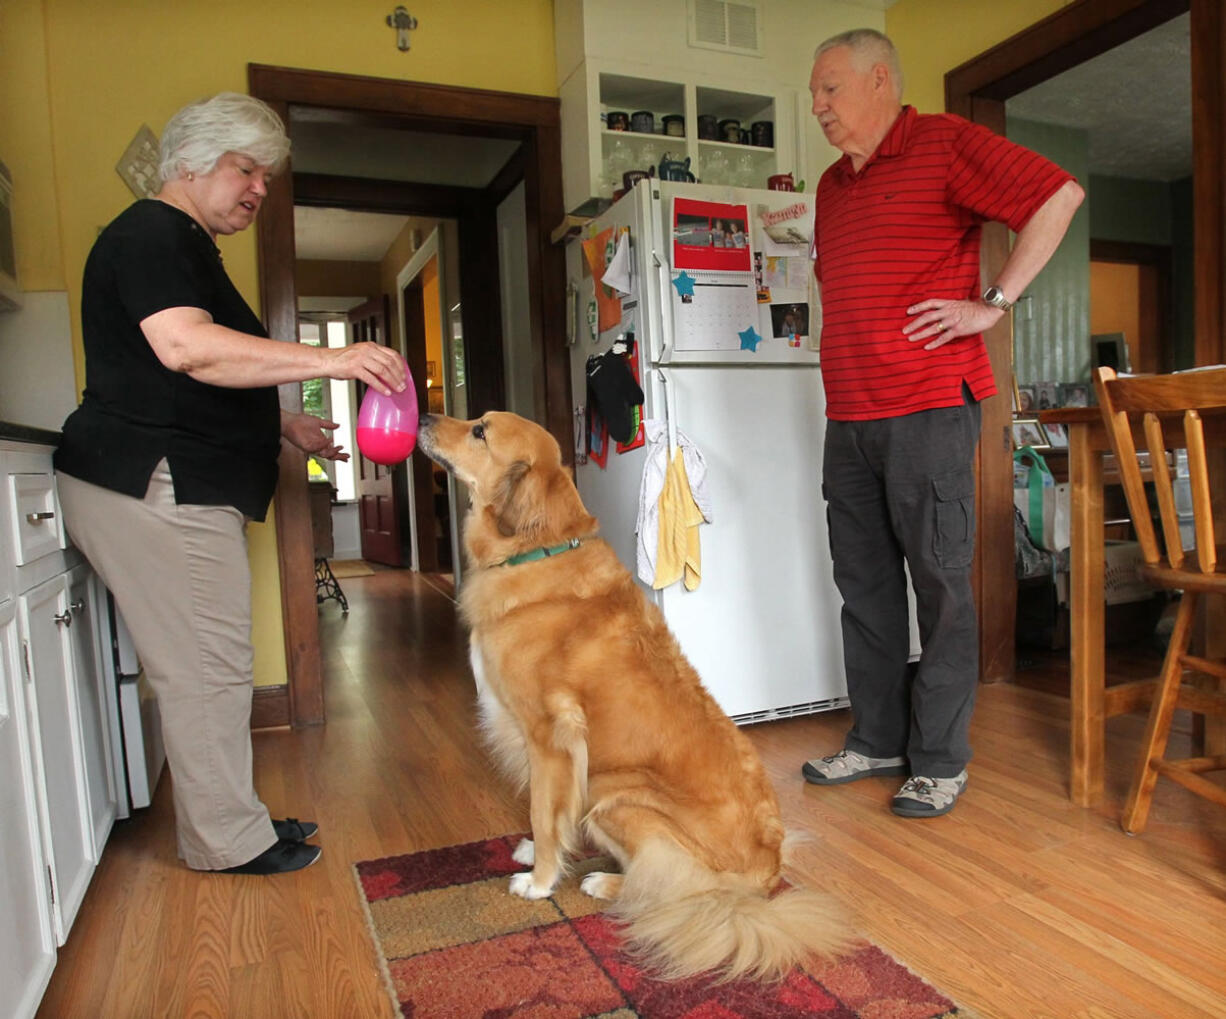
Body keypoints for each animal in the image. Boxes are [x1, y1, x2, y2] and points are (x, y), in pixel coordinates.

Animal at [416, 409, 848, 985]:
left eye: (480, 430)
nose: (423, 414)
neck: (537, 549)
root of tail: (768, 870)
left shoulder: (550, 737)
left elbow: (542, 810)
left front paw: (541, 879)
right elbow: (546, 813)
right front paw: (537, 852)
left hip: (614, 793)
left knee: (672, 885)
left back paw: (608, 883)